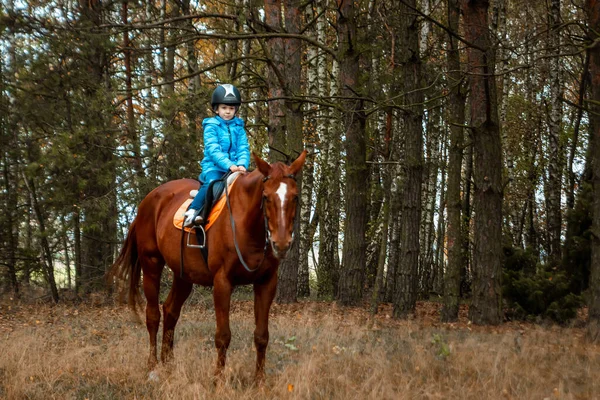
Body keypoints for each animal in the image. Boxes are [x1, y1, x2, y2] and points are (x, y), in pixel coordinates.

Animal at [110, 150, 308, 382]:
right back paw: (153, 366)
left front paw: (259, 381)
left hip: (183, 275)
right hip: (151, 265)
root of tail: (149, 200)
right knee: (153, 316)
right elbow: (223, 336)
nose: (282, 243)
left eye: (295, 197)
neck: (245, 223)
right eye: (266, 196)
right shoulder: (222, 282)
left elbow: (261, 336)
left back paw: (168, 365)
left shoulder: (266, 282)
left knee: (170, 311)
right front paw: (218, 380)